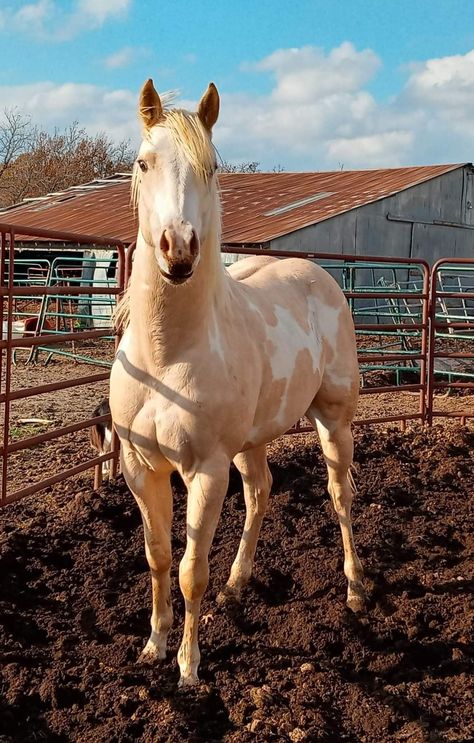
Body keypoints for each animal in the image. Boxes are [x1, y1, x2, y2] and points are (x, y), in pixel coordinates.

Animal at [109, 78, 364, 688]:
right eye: (143, 162)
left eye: (211, 169)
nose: (178, 250)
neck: (166, 357)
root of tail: (320, 276)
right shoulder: (140, 466)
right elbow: (158, 556)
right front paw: (153, 645)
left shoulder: (205, 470)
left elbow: (189, 570)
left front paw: (188, 667)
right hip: (251, 442)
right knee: (261, 493)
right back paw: (238, 583)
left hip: (334, 422)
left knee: (340, 495)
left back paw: (354, 591)